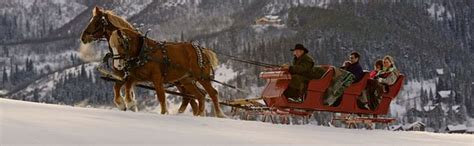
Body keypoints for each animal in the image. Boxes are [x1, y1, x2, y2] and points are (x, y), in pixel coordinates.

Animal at [79, 6, 224, 117]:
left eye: (96, 22)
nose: (83, 37)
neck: (141, 50)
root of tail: (202, 50)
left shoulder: (156, 78)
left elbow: (160, 96)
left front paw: (163, 113)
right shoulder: (133, 75)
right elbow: (121, 87)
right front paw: (126, 104)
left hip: (202, 77)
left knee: (211, 94)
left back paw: (219, 115)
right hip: (186, 80)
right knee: (198, 96)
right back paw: (198, 114)